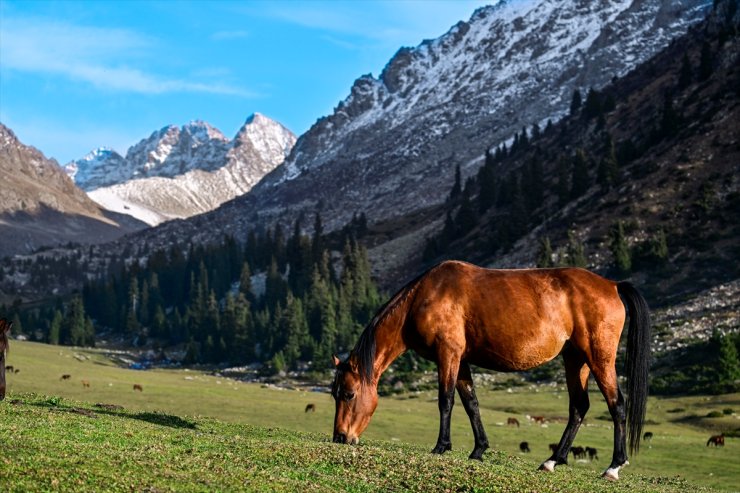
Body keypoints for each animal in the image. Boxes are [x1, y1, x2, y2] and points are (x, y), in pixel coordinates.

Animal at [332, 260, 652, 478]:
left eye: (349, 394)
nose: (340, 438)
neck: (422, 298)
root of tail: (612, 285)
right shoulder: (460, 360)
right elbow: (471, 403)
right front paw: (479, 450)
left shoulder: (447, 355)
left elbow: (446, 401)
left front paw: (441, 446)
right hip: (575, 359)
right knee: (579, 407)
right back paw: (551, 461)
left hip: (599, 358)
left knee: (616, 404)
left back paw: (613, 466)